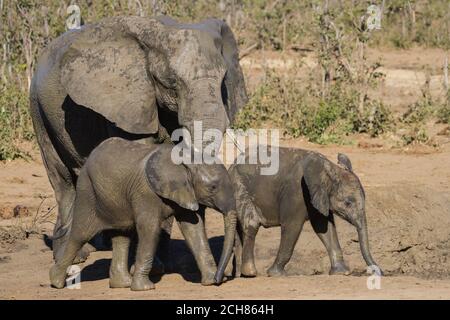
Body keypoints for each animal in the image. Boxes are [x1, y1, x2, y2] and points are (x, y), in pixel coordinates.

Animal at [29, 15, 248, 262]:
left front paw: (160, 262)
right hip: (39, 110)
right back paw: (73, 256)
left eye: (223, 80)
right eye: (171, 82)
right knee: (63, 181)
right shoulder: (126, 104)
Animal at [50, 138, 237, 290]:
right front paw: (145, 288)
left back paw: (122, 284)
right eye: (212, 188)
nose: (221, 278)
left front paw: (210, 281)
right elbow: (150, 229)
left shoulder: (185, 191)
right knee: (80, 234)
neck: (186, 158)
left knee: (122, 236)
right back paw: (56, 283)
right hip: (87, 190)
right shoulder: (145, 192)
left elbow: (193, 229)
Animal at [229, 146, 380, 276]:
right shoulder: (297, 190)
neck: (329, 168)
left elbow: (324, 227)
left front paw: (341, 272)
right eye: (348, 203)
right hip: (239, 187)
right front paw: (275, 274)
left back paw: (240, 275)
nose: (380, 273)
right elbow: (292, 226)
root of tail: (232, 164)